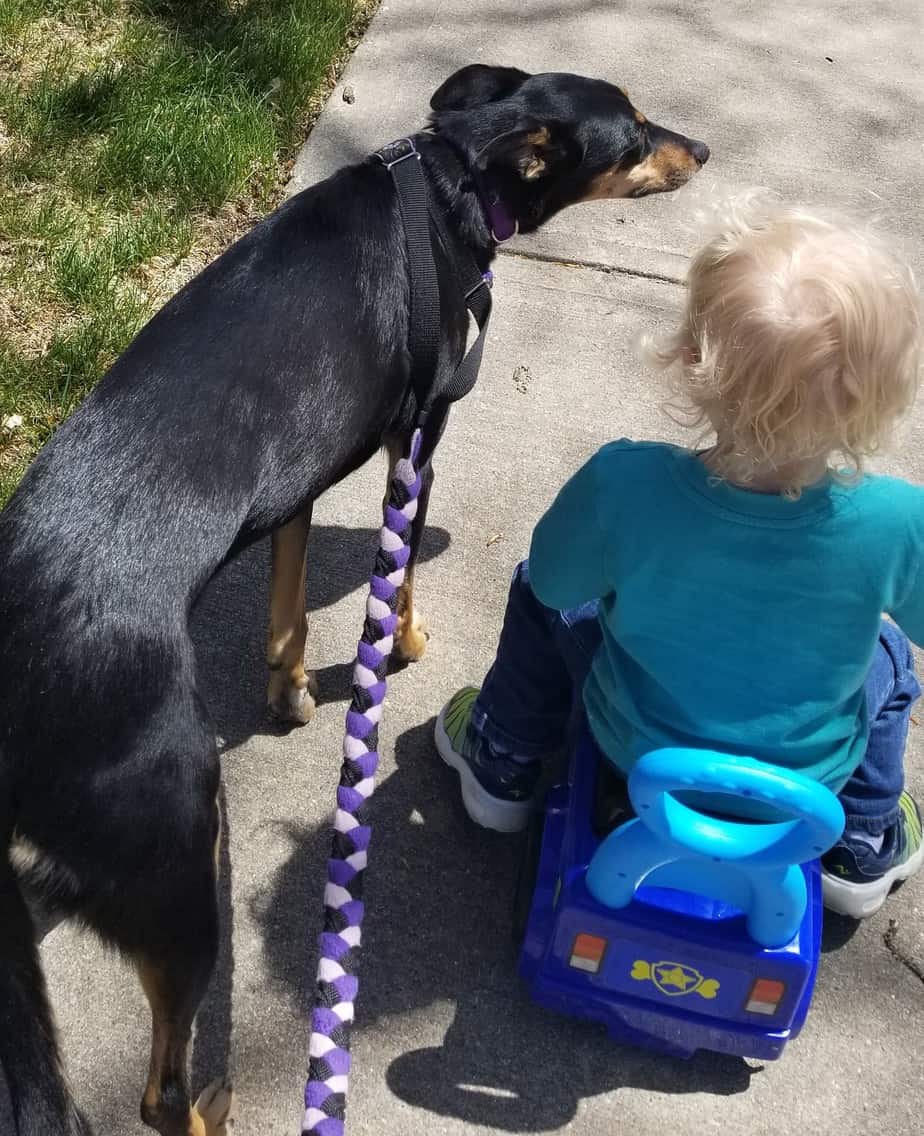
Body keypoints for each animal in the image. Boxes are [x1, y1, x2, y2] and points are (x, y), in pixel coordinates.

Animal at [1, 66, 704, 1136]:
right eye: (631, 137)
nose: (702, 150)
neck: (457, 173)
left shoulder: (302, 469)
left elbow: (290, 592)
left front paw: (290, 687)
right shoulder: (420, 433)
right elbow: (399, 568)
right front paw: (403, 642)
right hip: (181, 859)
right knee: (161, 1089)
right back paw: (212, 1104)